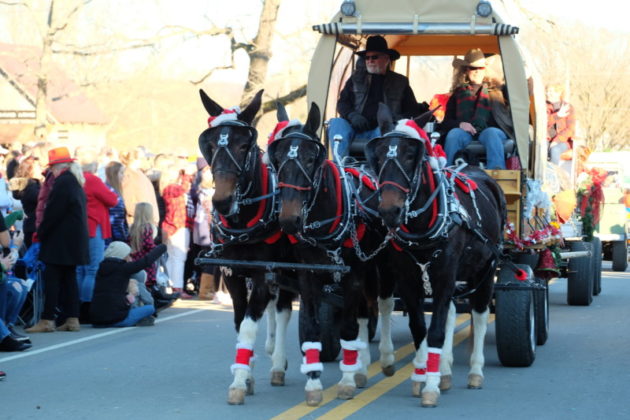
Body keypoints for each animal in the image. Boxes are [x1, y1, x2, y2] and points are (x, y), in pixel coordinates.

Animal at [199, 90, 298, 406]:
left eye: (245, 145)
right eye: (208, 144)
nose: (220, 201)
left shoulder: (264, 273)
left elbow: (249, 325)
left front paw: (240, 380)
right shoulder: (232, 275)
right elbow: (240, 320)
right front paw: (247, 370)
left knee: (282, 309)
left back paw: (278, 362)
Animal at [268, 100, 398, 406]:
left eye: (310, 159)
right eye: (277, 158)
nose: (289, 219)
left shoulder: (353, 276)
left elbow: (349, 327)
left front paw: (346, 382)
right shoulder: (309, 276)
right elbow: (313, 329)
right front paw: (314, 384)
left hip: (382, 265)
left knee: (383, 305)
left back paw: (383, 360)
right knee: (365, 311)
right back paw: (361, 366)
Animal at [366, 104, 508, 406]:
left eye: (411, 155)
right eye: (379, 155)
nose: (389, 211)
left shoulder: (444, 277)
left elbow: (437, 331)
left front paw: (430, 387)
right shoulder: (408, 279)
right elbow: (420, 328)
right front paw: (423, 376)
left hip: (486, 269)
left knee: (479, 314)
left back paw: (475, 371)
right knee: (453, 311)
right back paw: (444, 371)